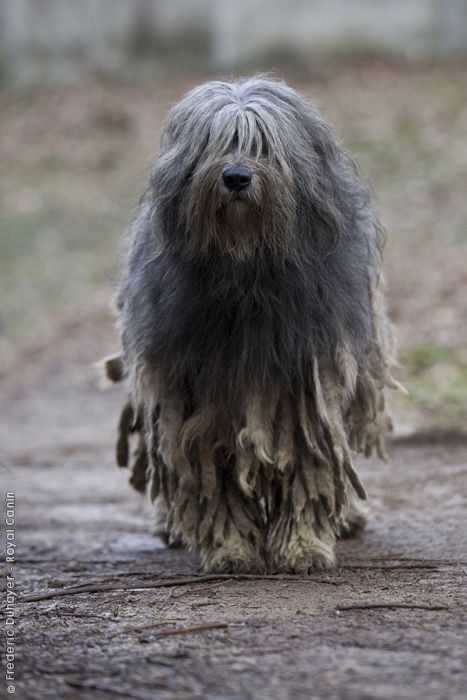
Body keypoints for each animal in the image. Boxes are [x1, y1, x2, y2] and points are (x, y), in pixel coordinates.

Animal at [105, 78, 402, 576]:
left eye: (265, 146)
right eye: (213, 144)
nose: (237, 177)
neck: (245, 271)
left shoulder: (305, 383)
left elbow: (309, 461)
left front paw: (303, 545)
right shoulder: (199, 391)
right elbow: (212, 471)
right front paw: (231, 547)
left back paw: (347, 517)